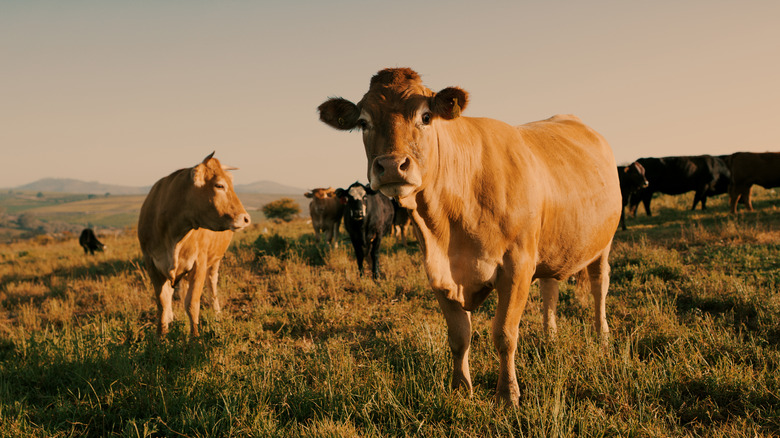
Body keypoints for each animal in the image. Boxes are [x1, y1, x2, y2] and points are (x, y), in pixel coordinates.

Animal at [138, 152, 250, 338]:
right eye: (219, 185)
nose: (246, 218)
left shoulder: (199, 263)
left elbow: (192, 303)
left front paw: (194, 338)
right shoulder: (151, 264)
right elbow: (162, 302)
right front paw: (160, 336)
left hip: (215, 261)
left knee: (212, 286)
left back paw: (217, 313)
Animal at [316, 66, 620, 406]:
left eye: (425, 117)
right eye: (363, 123)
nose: (392, 165)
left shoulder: (517, 266)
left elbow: (504, 334)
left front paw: (507, 394)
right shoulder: (438, 272)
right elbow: (459, 337)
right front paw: (461, 388)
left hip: (602, 243)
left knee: (599, 286)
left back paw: (602, 335)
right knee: (550, 289)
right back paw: (549, 337)